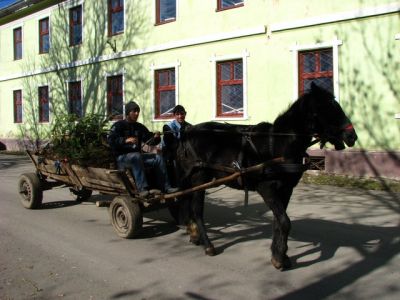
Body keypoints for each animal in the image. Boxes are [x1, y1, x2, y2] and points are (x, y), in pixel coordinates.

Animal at [167, 83, 358, 270]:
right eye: (327, 107)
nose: (352, 136)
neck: (278, 144)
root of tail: (187, 132)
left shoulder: (286, 190)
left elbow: (278, 222)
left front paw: (279, 254)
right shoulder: (267, 189)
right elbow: (285, 222)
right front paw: (280, 258)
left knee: (187, 201)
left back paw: (194, 233)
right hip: (199, 178)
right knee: (196, 209)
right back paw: (208, 244)